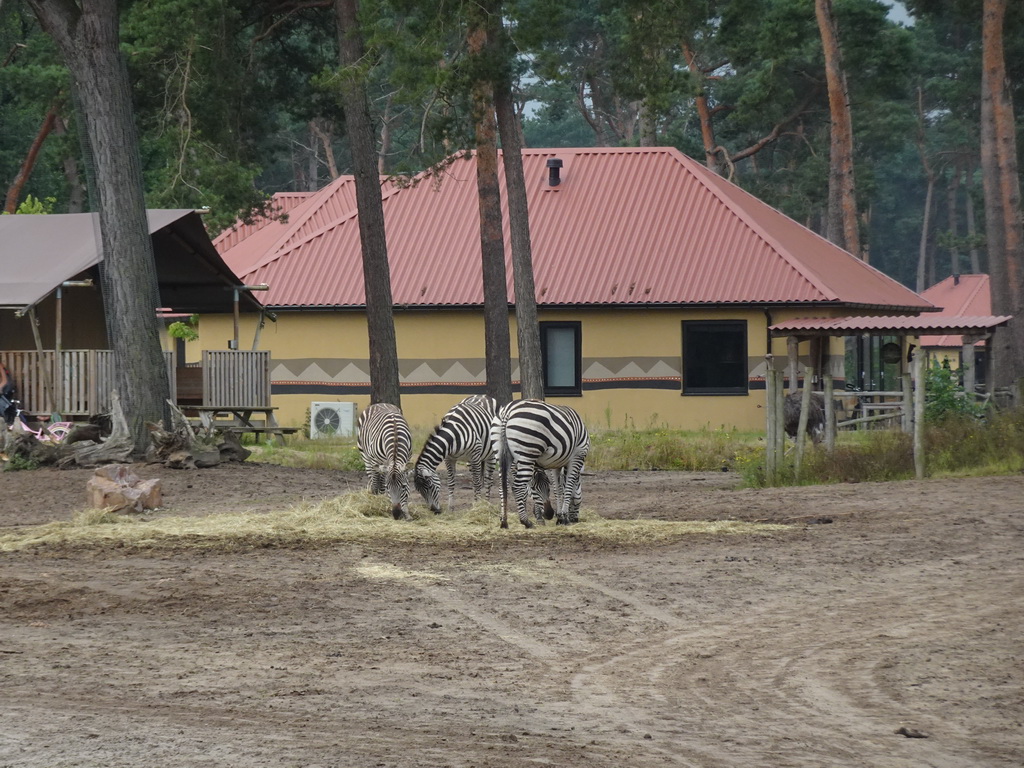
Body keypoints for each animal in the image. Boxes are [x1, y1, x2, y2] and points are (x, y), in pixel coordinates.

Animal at [489, 397, 589, 528]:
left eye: (548, 488)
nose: (549, 514)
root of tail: (507, 411)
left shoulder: (555, 465)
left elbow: (558, 489)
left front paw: (559, 517)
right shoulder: (577, 456)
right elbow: (568, 487)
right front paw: (565, 517)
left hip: (501, 453)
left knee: (502, 487)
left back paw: (504, 521)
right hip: (528, 452)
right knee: (517, 486)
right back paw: (526, 521)